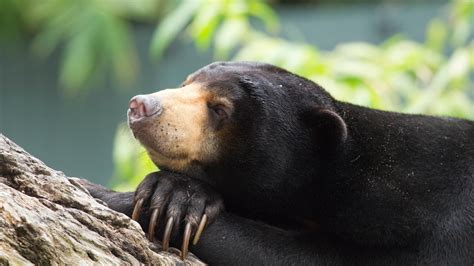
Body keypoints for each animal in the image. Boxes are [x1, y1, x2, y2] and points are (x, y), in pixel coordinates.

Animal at [83, 61, 474, 264]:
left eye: (220, 109)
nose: (141, 106)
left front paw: (107, 194)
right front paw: (177, 197)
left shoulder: (421, 228)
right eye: (187, 82)